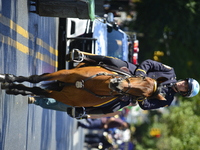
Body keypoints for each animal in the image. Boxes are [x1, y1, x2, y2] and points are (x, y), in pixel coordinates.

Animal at [0, 63, 166, 106]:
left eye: (140, 97)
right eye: (141, 76)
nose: (117, 86)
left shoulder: (59, 95)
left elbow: (36, 88)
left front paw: (12, 87)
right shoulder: (63, 74)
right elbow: (34, 78)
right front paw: (7, 78)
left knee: (34, 90)